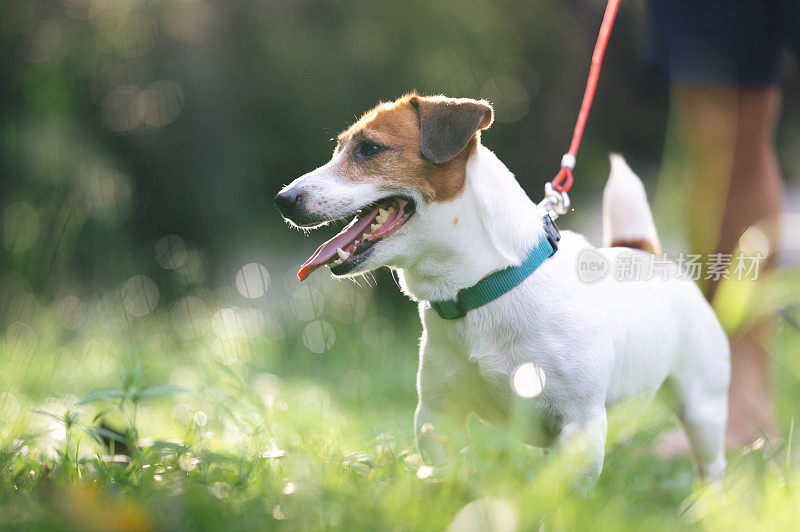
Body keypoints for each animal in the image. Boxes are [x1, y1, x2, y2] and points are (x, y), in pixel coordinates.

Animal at [276, 93, 732, 484]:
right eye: (339, 149)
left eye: (369, 149)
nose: (283, 198)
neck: (479, 289)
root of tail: (643, 252)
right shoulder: (436, 418)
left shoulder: (580, 425)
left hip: (703, 409)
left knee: (710, 465)